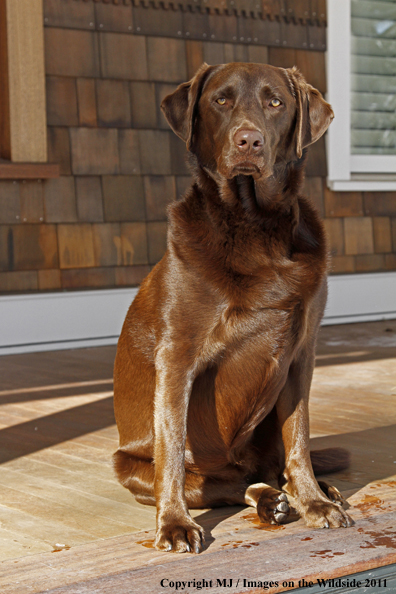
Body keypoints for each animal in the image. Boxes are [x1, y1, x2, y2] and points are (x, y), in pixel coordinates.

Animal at [113, 62, 354, 552]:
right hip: (129, 466)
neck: (253, 224)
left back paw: (308, 491)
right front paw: (174, 523)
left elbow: (298, 438)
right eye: (220, 100)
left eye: (275, 102)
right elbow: (172, 450)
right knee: (222, 483)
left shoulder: (302, 353)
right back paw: (268, 500)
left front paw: (314, 502)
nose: (249, 141)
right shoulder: (177, 356)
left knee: (269, 467)